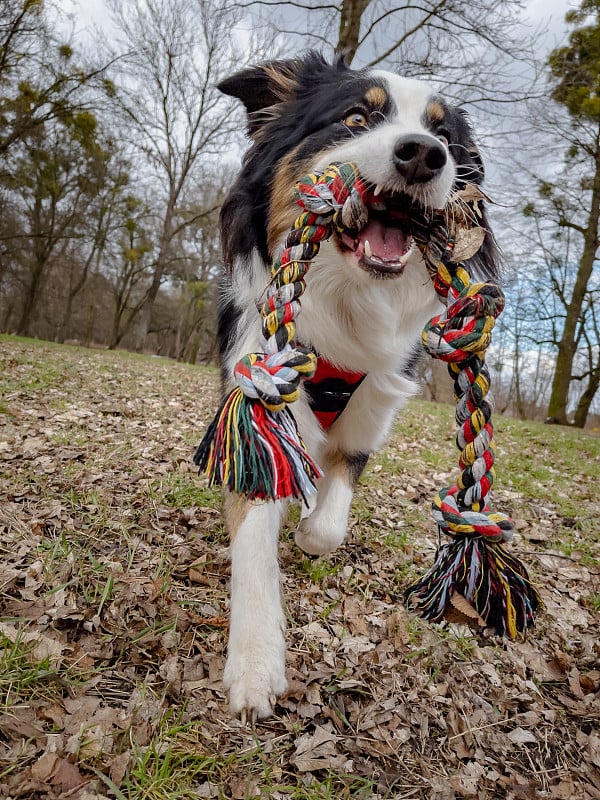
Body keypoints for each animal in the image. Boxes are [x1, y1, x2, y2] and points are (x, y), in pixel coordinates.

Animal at [211, 53, 502, 720]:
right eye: (356, 117)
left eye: (445, 139)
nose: (423, 156)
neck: (346, 305)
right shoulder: (260, 395)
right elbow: (256, 532)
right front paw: (255, 663)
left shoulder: (372, 411)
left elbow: (328, 523)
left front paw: (310, 526)